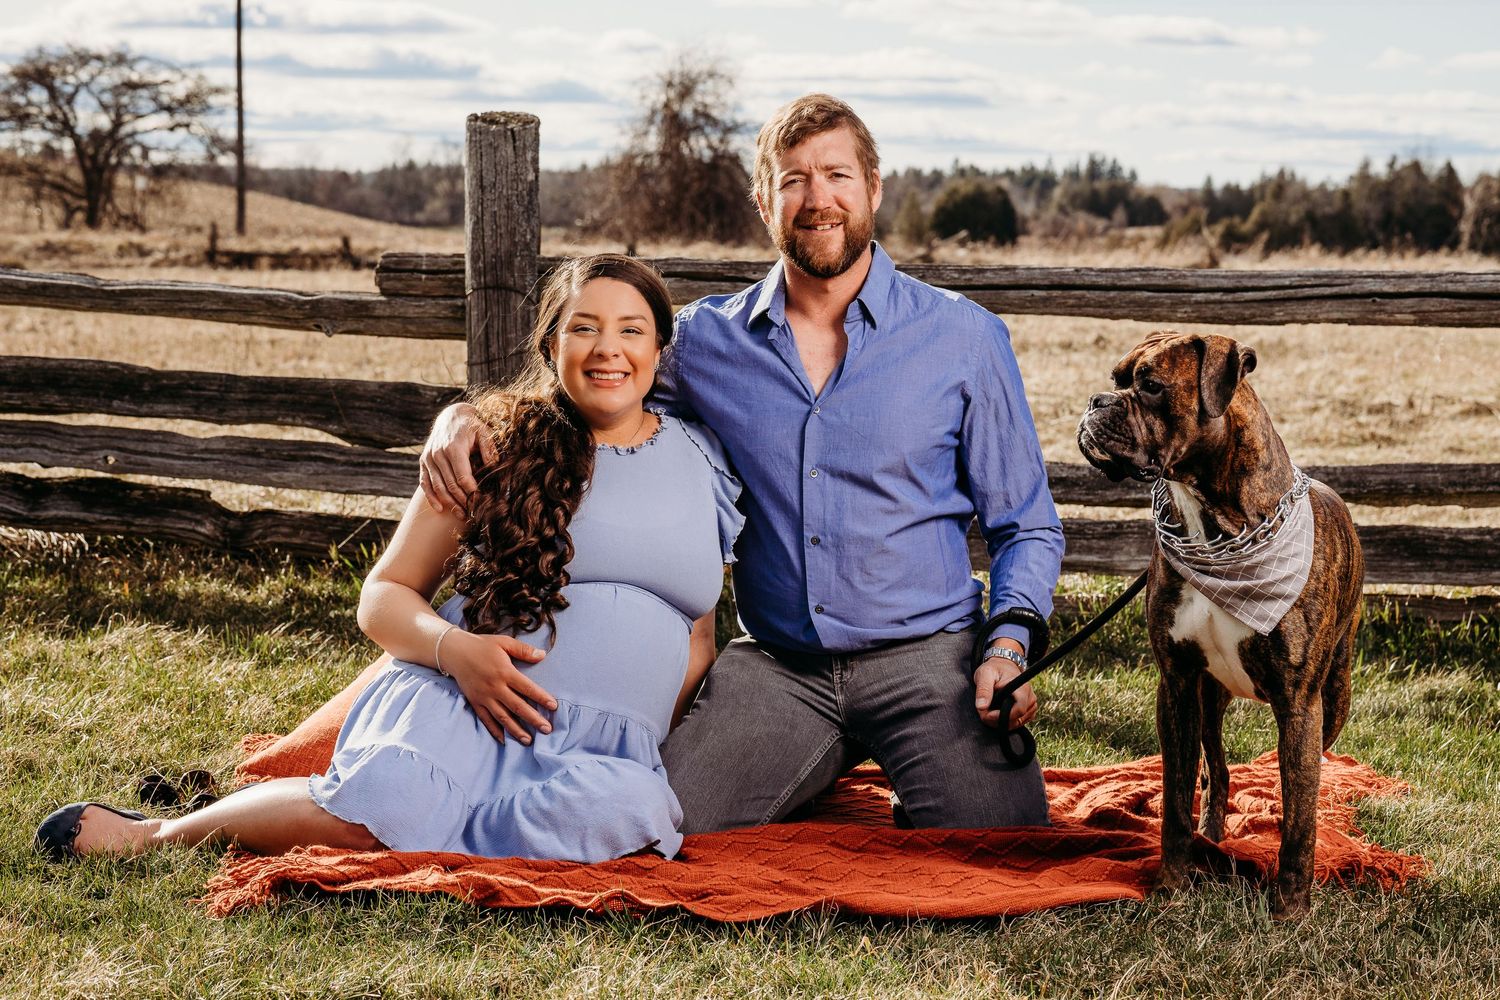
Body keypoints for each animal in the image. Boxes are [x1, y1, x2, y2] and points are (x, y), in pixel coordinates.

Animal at [1076, 331, 1363, 919]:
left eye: (1150, 385)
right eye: (1116, 379)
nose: (1096, 400)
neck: (1219, 530)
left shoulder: (1299, 701)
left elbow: (1299, 813)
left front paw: (1290, 909)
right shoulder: (1177, 683)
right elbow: (1176, 795)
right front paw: (1171, 884)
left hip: (1334, 696)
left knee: (1303, 779)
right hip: (1211, 698)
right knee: (1218, 769)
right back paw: (1212, 837)